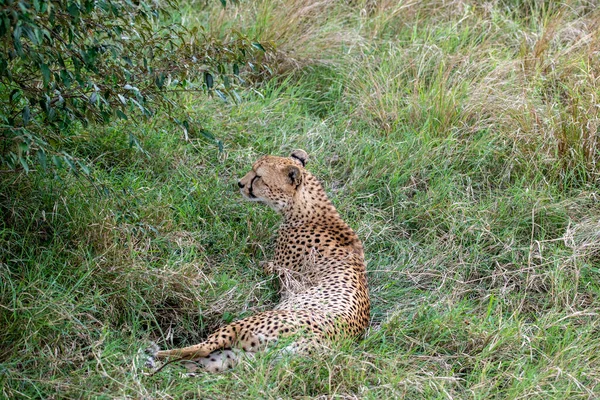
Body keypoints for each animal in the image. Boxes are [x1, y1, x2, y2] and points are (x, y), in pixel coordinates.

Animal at [152, 150, 368, 372]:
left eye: (258, 176)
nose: (240, 183)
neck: (308, 207)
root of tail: (313, 343)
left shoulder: (279, 270)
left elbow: (259, 264)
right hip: (237, 356)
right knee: (202, 359)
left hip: (246, 326)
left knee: (204, 347)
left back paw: (155, 353)